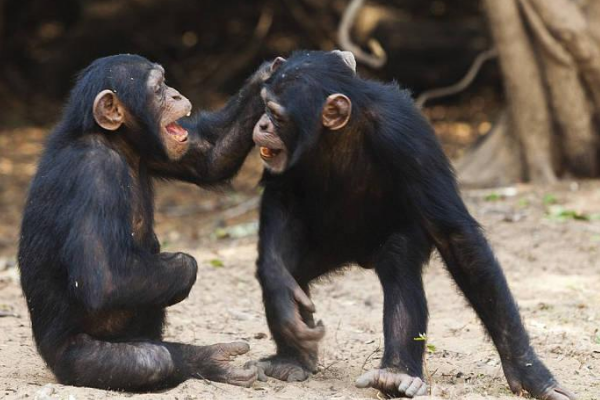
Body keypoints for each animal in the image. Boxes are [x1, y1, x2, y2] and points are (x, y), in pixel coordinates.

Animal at [17, 54, 272, 392]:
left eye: (165, 83)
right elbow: (104, 279)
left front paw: (269, 75)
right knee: (151, 359)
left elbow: (210, 156)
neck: (114, 141)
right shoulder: (94, 175)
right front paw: (185, 265)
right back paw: (208, 360)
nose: (176, 94)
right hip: (71, 361)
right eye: (159, 88)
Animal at [248, 50, 576, 400]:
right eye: (263, 105)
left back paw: (395, 375)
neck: (340, 131)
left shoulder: (407, 137)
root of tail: (359, 255)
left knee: (399, 261)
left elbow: (456, 237)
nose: (262, 123)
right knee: (295, 269)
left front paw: (528, 371)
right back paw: (292, 359)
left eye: (276, 114)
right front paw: (279, 290)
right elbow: (281, 193)